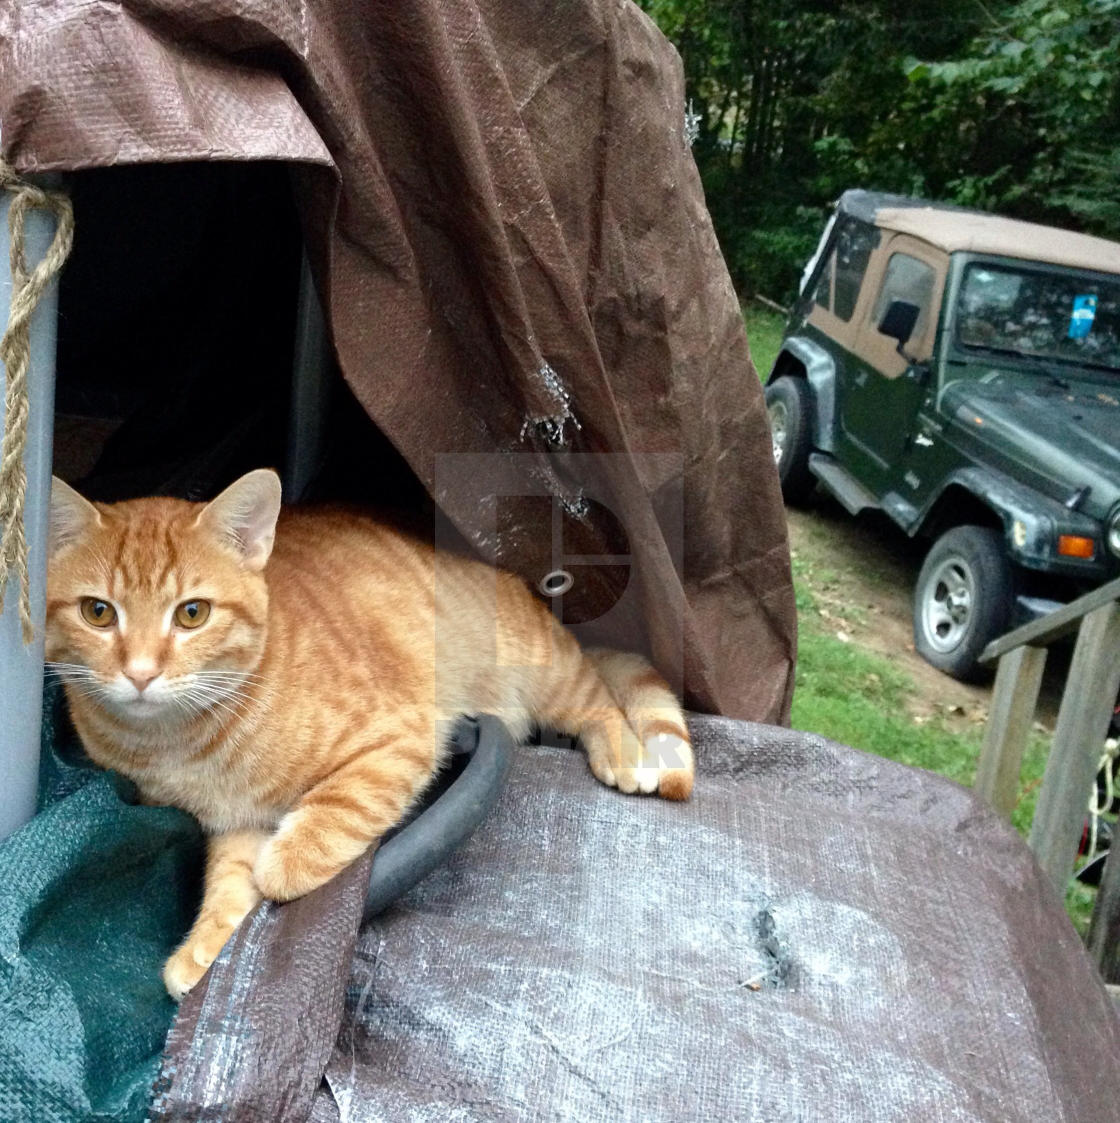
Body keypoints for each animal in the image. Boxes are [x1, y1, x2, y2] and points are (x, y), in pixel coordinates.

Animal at [45, 469, 691, 997]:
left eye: (192, 613)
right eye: (97, 613)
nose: (141, 673)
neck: (176, 742)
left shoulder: (398, 740)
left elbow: (328, 817)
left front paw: (284, 865)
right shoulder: (235, 820)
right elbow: (228, 881)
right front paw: (206, 947)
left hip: (543, 667)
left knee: (596, 697)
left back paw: (625, 753)